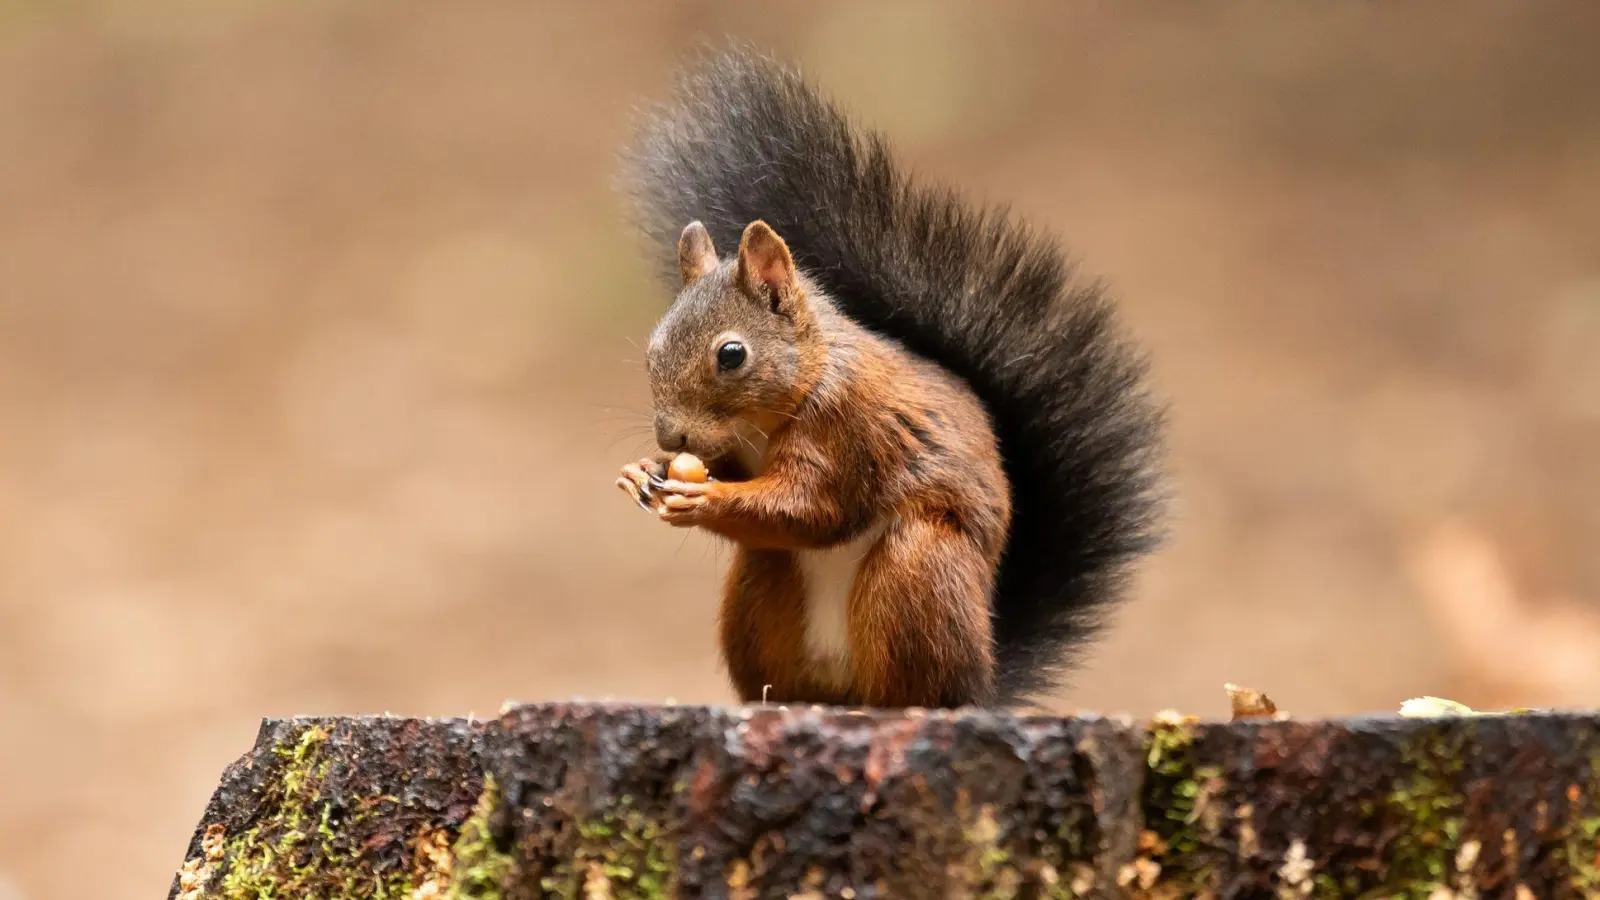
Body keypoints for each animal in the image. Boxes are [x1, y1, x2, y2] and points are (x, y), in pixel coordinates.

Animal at [613, 46, 1165, 709]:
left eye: (732, 355)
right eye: (653, 345)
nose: (671, 438)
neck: (783, 404)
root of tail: (981, 683)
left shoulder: (848, 428)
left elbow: (813, 508)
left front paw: (703, 496)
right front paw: (642, 472)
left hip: (916, 570)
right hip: (762, 587)